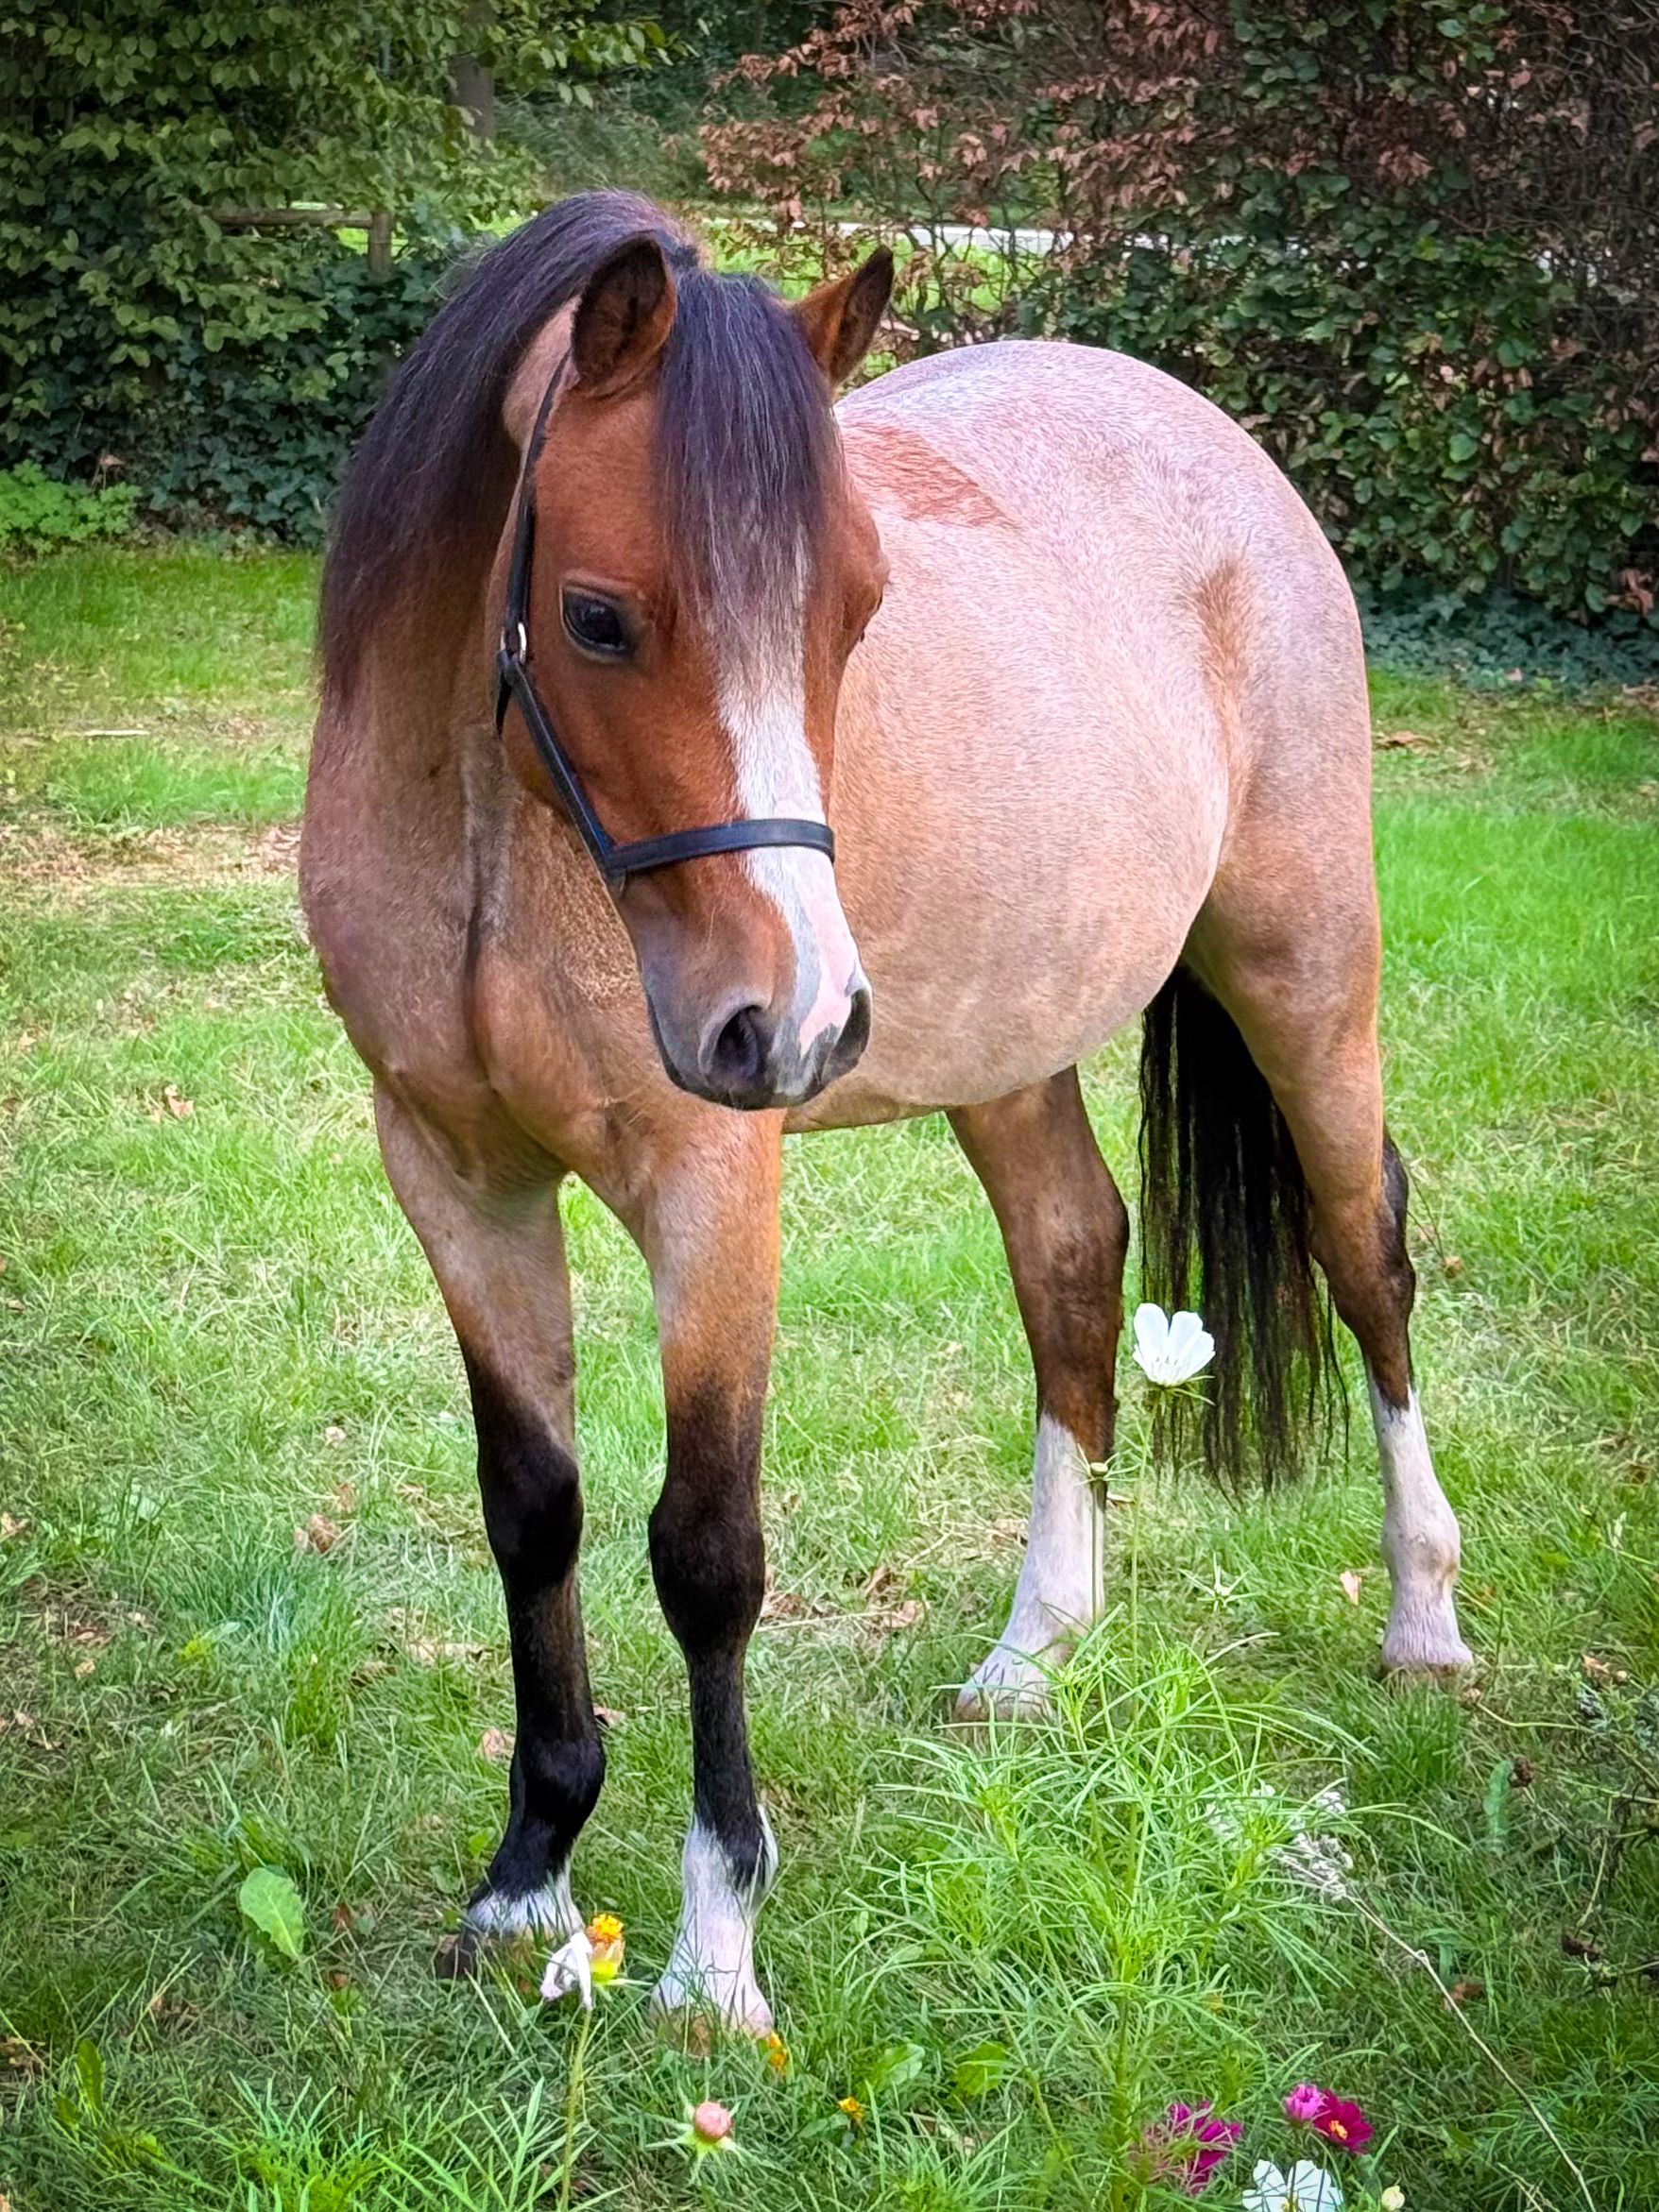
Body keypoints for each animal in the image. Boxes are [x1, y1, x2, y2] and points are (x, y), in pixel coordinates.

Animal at [302, 189, 1471, 2033]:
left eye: (857, 614)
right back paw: (1033, 1652)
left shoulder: (711, 1188)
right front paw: (527, 1875)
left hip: (1305, 976)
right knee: (1073, 1266)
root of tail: (1221, 448)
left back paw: (1423, 1617)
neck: (502, 847)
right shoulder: (454, 1173)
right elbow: (533, 1506)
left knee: (1368, 1256)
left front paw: (713, 1954)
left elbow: (705, 1551)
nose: (796, 1020)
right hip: (1011, 1045)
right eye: (599, 616)